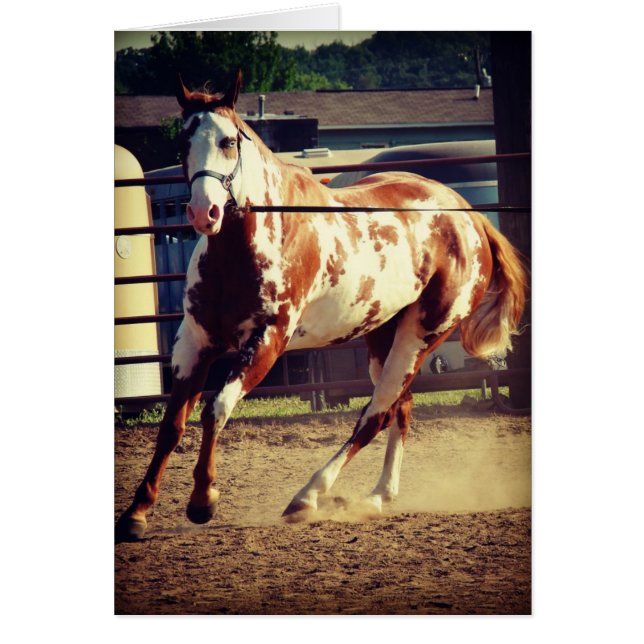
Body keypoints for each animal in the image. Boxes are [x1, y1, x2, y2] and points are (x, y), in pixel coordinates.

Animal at [115, 70, 526, 542]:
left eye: (228, 141)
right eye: (184, 142)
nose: (205, 211)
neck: (247, 245)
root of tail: (469, 216)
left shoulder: (267, 342)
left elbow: (216, 408)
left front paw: (203, 501)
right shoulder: (194, 340)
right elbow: (171, 425)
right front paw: (136, 513)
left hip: (422, 336)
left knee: (374, 414)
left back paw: (308, 497)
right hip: (382, 336)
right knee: (399, 408)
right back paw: (377, 496)